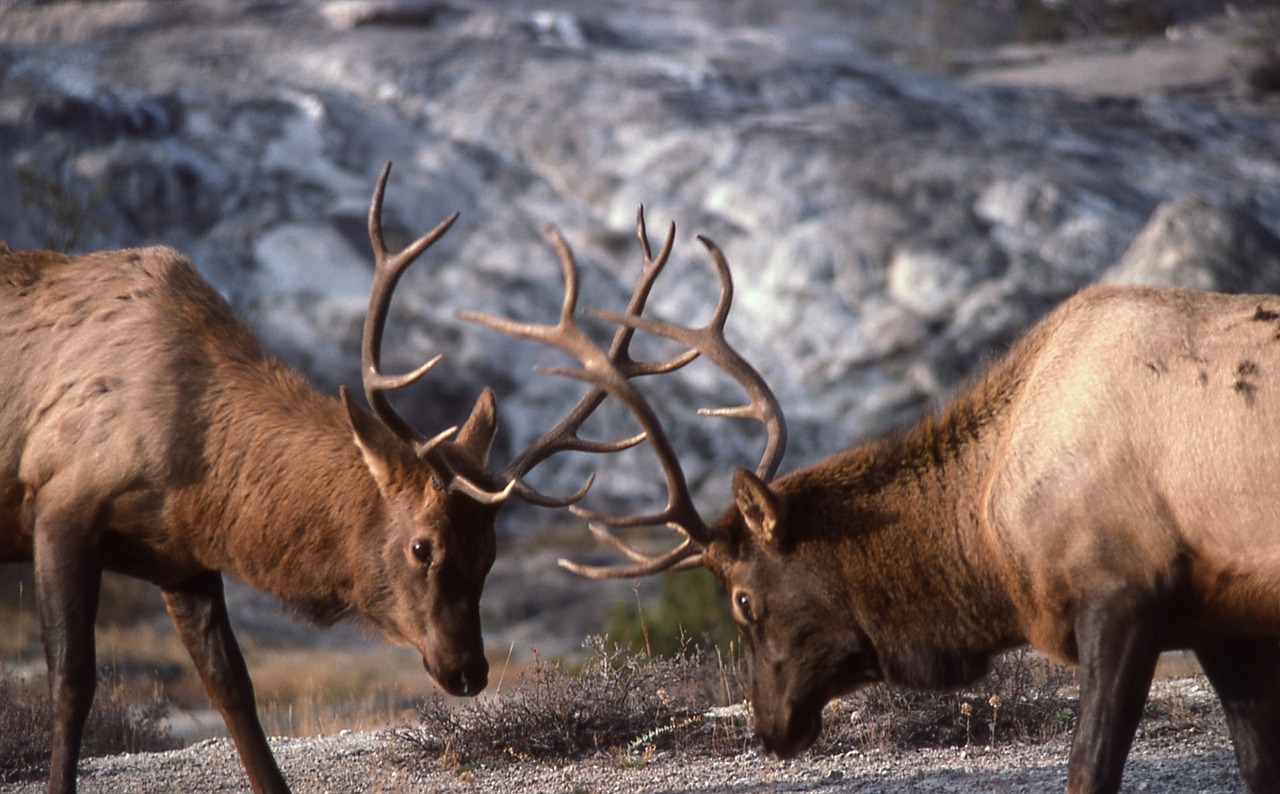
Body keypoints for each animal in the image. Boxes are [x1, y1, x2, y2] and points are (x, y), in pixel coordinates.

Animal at [0, 162, 614, 794]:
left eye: (490, 553)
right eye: (423, 547)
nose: (468, 669)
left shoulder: (182, 558)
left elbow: (233, 687)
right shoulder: (60, 507)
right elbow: (71, 681)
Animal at [471, 212, 1280, 794]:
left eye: (742, 599)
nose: (769, 729)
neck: (991, 534)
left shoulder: (1122, 593)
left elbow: (1090, 771)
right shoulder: (1221, 616)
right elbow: (1256, 766)